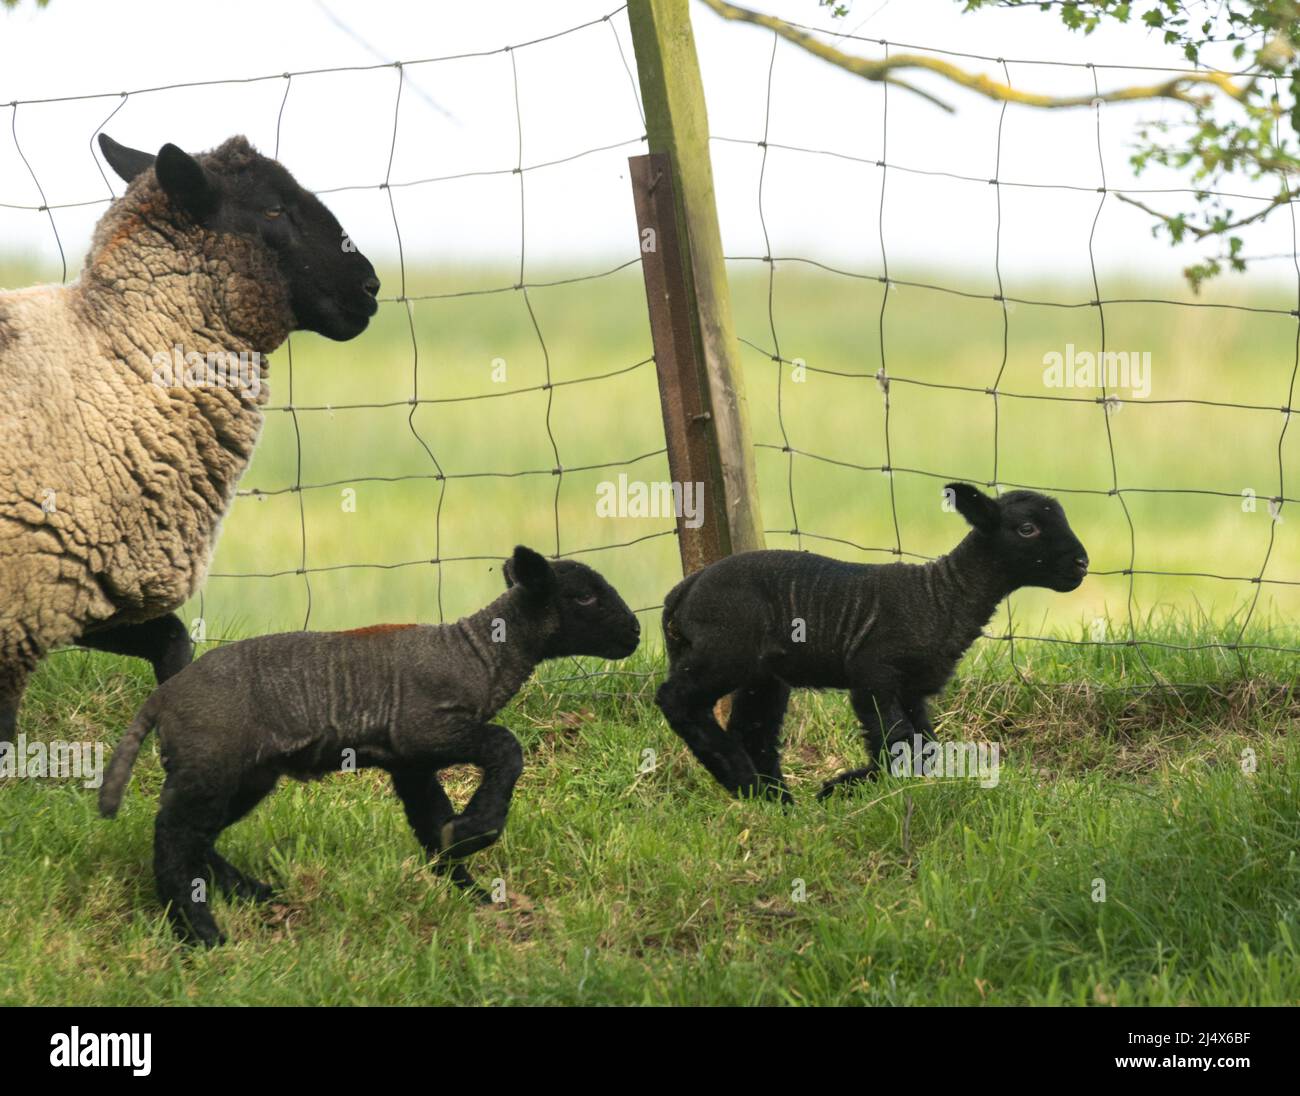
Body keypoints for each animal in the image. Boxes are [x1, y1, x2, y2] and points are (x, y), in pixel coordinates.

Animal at [2, 132, 379, 743]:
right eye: (273, 209)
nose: (370, 288)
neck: (114, 362)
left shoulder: (89, 585)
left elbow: (175, 644)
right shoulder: (26, 605)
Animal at [97, 548, 639, 951]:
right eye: (584, 596)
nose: (635, 633)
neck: (482, 655)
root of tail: (163, 697)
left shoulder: (410, 764)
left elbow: (430, 821)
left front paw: (470, 889)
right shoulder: (426, 731)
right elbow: (506, 747)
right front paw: (474, 832)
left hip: (243, 775)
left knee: (196, 837)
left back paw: (253, 894)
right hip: (209, 766)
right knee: (173, 838)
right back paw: (199, 933)